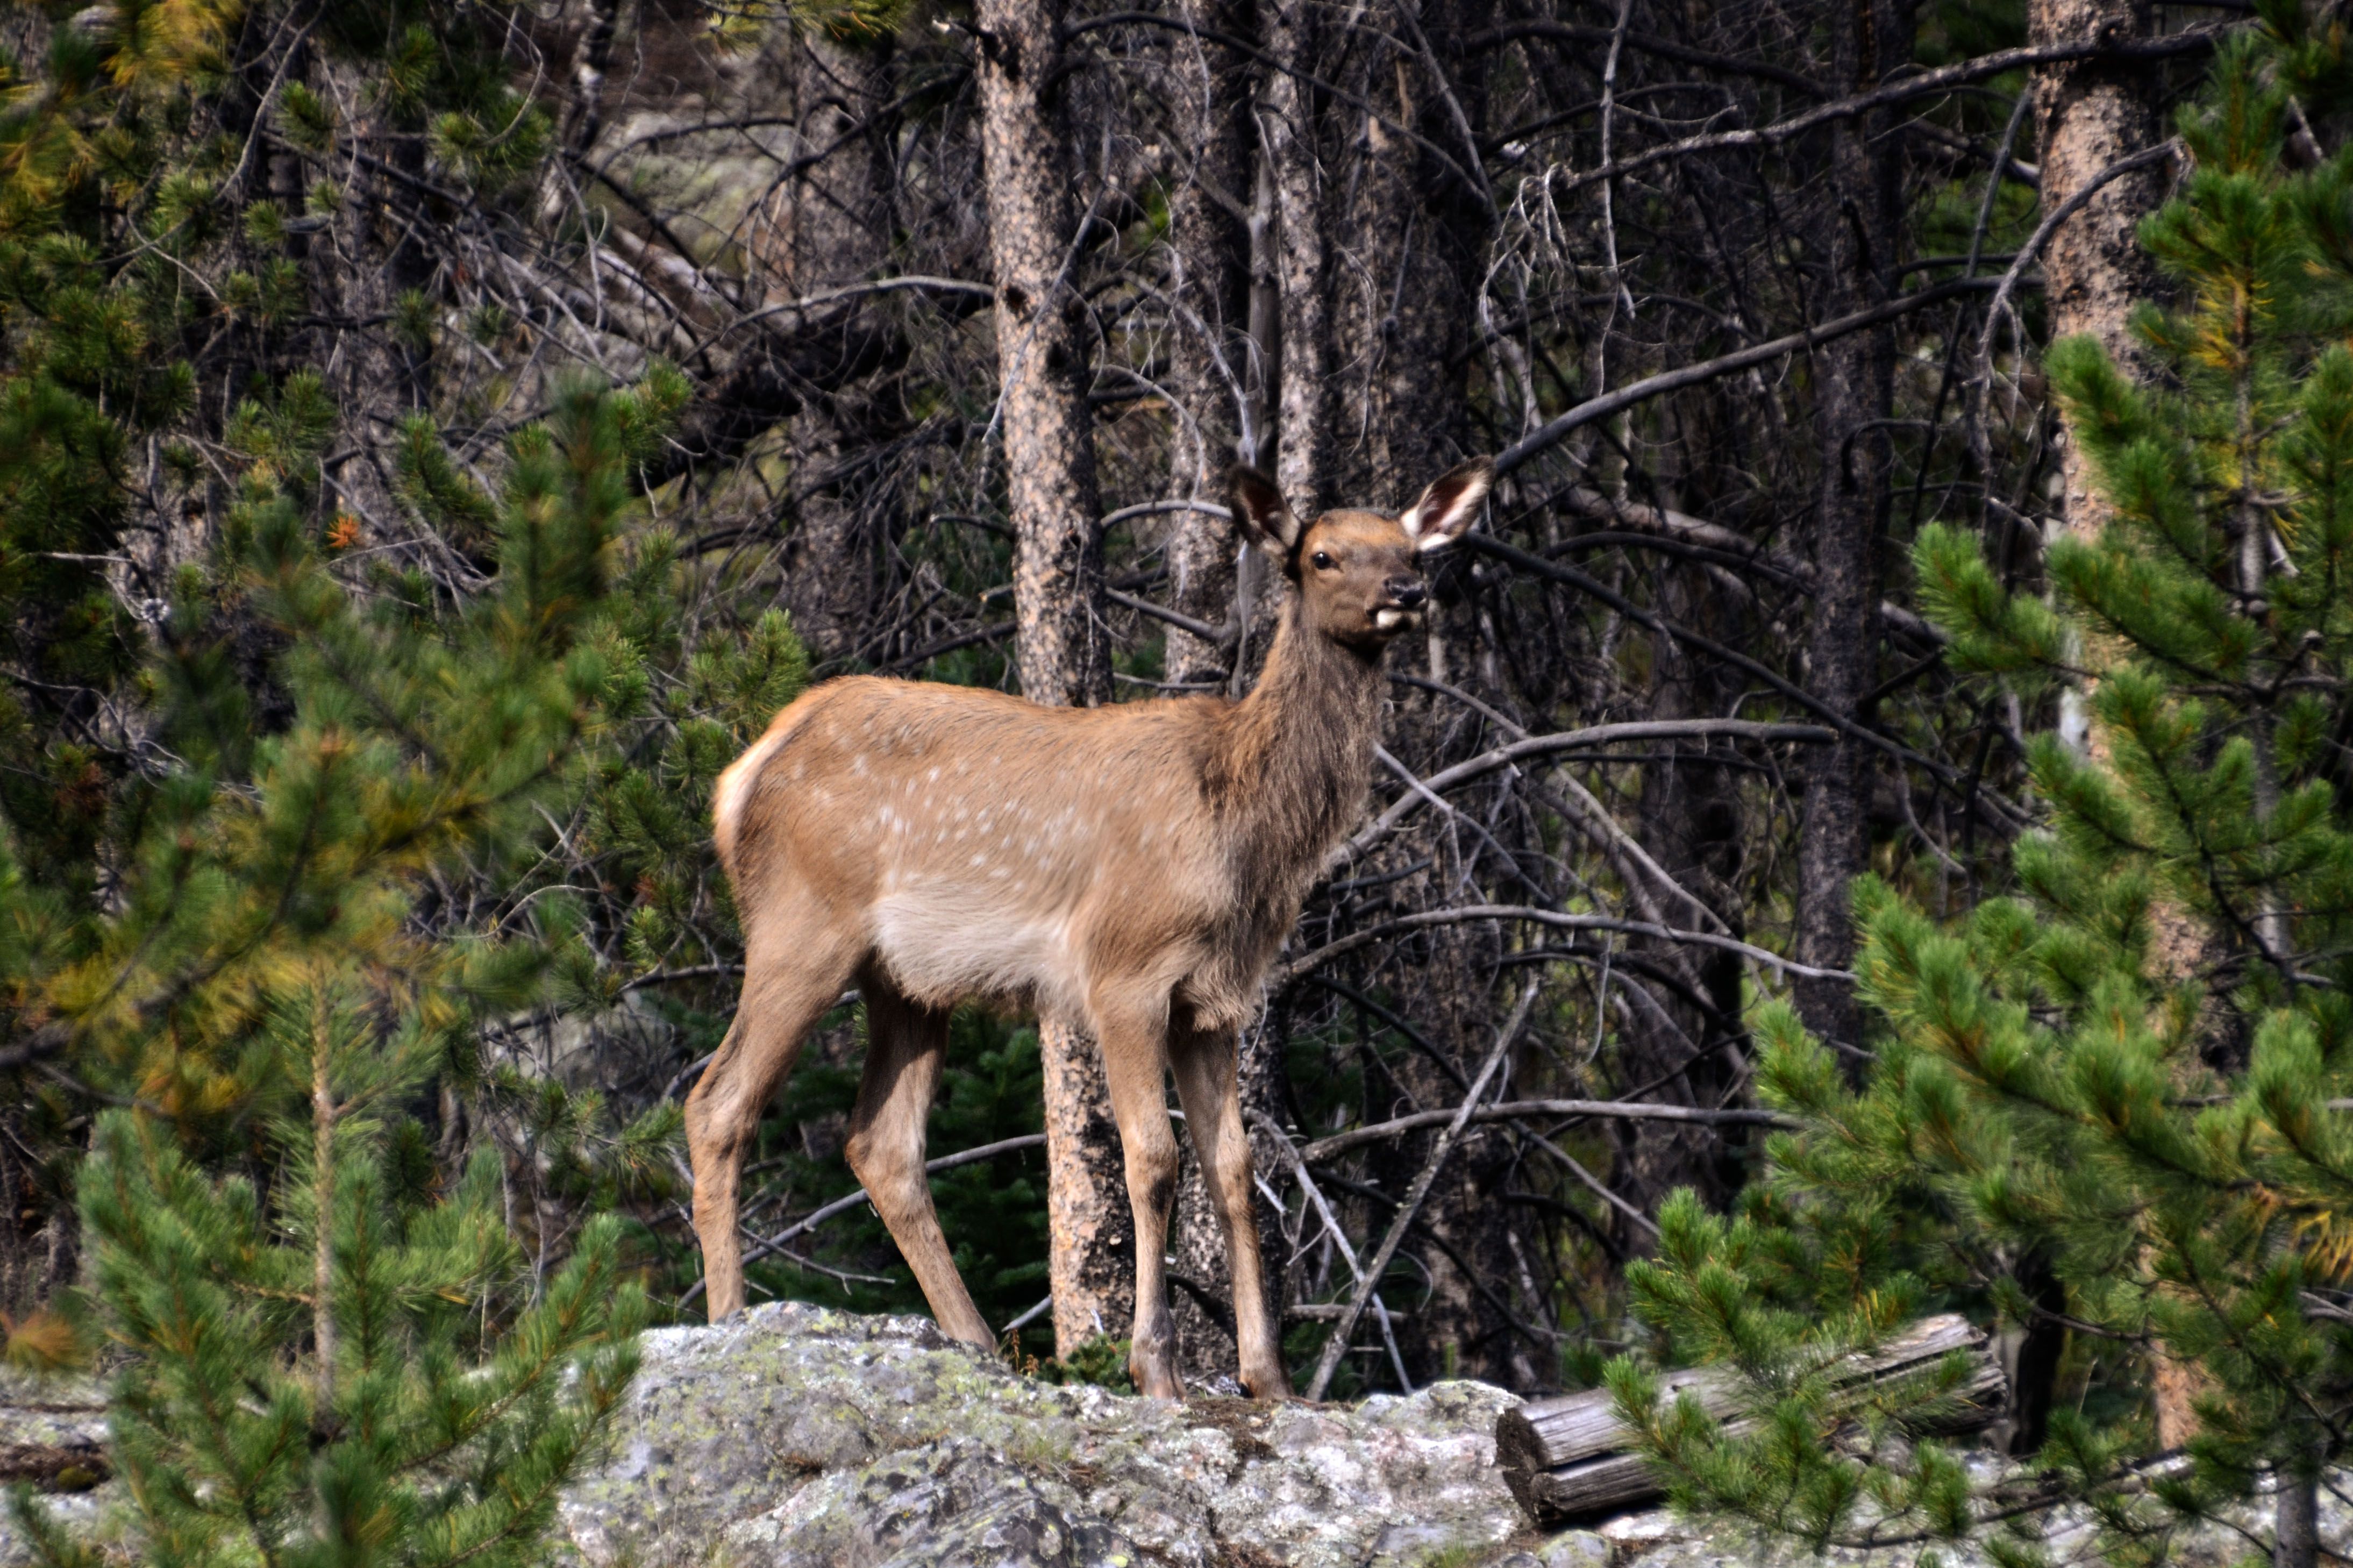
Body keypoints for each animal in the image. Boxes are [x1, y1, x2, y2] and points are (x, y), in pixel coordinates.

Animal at [686, 455, 1495, 1400]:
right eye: (1323, 556)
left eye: (1407, 544)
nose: (1409, 591)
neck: (1248, 835)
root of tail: (739, 777)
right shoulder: (1124, 972)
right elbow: (1153, 1161)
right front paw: (1157, 1368)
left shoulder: (1215, 1000)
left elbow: (1234, 1168)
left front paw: (1268, 1377)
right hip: (801, 926)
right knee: (719, 1104)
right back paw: (727, 1322)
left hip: (910, 984)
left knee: (880, 1145)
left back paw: (977, 1345)